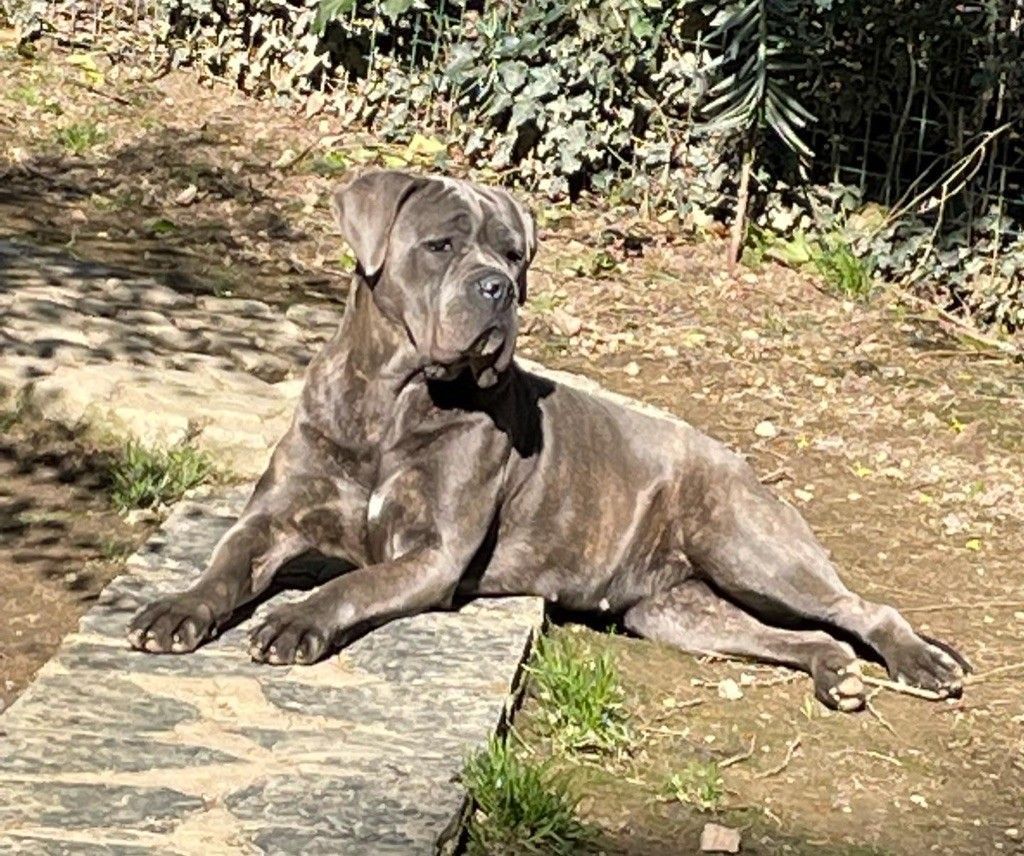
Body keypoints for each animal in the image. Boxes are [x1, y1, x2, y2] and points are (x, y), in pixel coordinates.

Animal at [128, 166, 966, 708]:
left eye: (513, 253)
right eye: (440, 245)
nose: (497, 288)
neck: (389, 402)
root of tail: (741, 463)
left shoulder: (431, 554)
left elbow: (349, 583)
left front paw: (297, 619)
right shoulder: (272, 517)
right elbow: (226, 561)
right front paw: (178, 607)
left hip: (753, 552)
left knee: (861, 610)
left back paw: (921, 662)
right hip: (674, 612)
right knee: (807, 637)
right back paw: (837, 675)